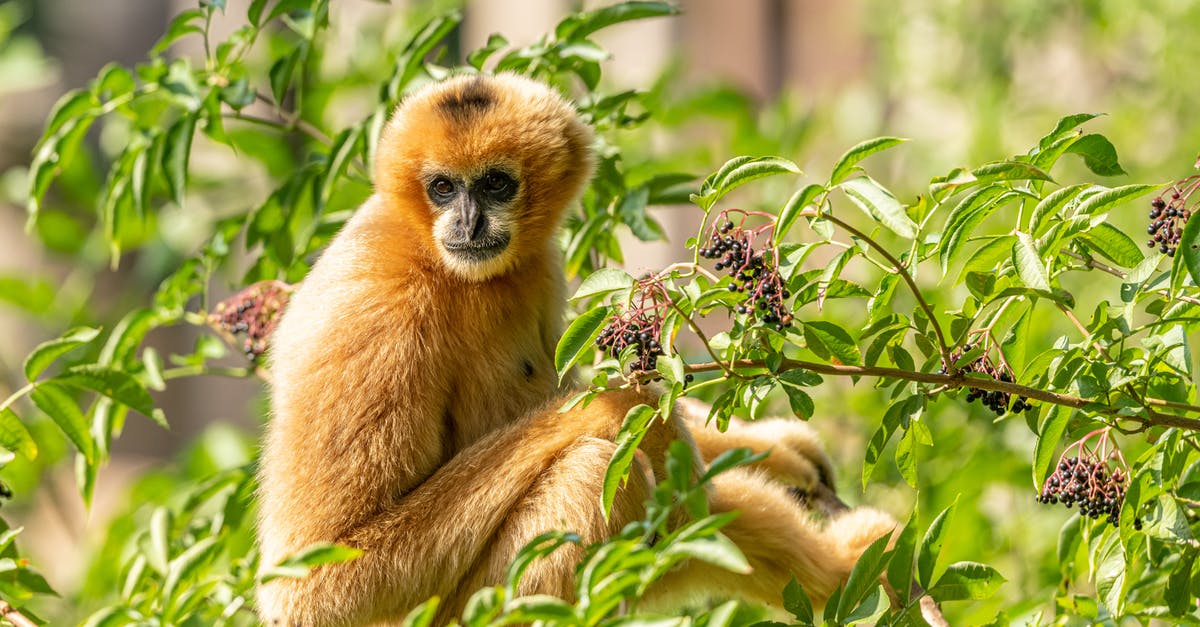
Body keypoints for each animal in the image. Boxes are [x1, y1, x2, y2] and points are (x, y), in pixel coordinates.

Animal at [255, 72, 896, 626]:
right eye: (442, 187)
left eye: (495, 183)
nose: (466, 222)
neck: (440, 262)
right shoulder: (372, 313)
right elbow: (317, 586)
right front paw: (622, 406)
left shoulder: (538, 269)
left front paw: (779, 450)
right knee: (596, 469)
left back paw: (845, 570)